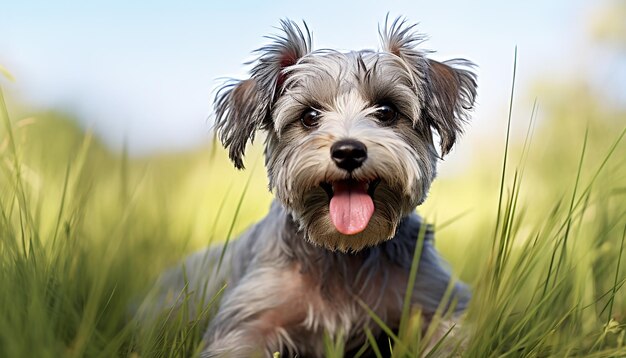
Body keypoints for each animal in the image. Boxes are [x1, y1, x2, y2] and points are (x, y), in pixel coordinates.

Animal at [147, 16, 478, 358]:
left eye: (386, 111)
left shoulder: (435, 300)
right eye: (309, 116)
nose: (348, 151)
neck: (345, 253)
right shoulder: (248, 320)